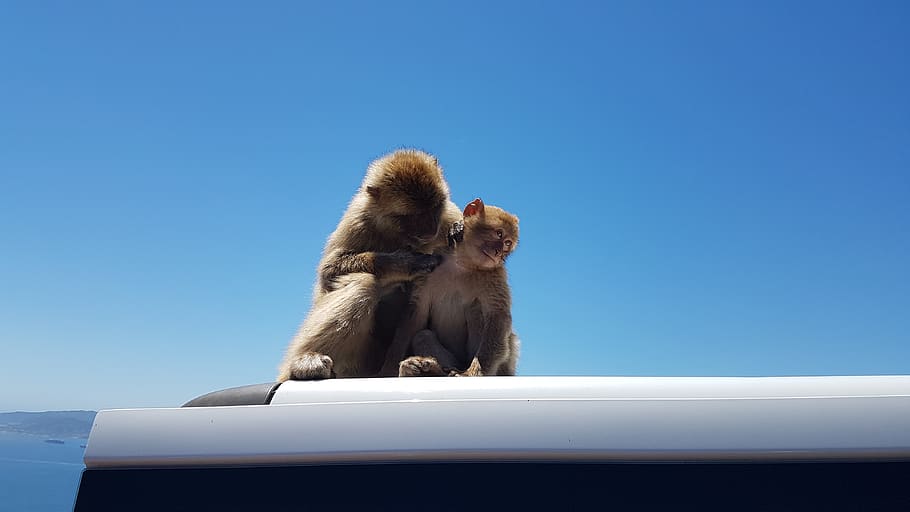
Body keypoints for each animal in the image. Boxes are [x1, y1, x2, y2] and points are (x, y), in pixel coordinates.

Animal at [277, 149, 463, 381]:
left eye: (434, 207)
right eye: (411, 216)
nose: (430, 230)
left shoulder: (449, 215)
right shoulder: (358, 219)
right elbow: (328, 272)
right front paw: (406, 263)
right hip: (356, 363)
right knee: (363, 283)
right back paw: (301, 365)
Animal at [379, 198, 520, 378]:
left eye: (507, 244)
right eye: (499, 234)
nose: (499, 253)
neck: (462, 263)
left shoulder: (495, 275)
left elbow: (497, 316)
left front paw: (471, 374)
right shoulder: (429, 267)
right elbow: (416, 313)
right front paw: (388, 368)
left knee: (476, 310)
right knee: (423, 336)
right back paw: (429, 369)